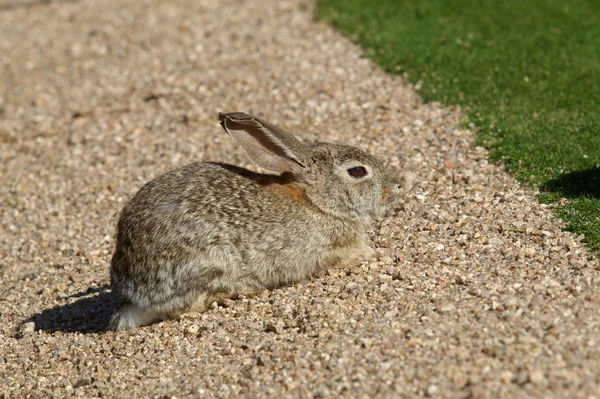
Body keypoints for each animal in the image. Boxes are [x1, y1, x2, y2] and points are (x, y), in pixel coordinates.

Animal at [110, 112, 400, 332]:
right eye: (358, 171)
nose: (396, 185)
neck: (318, 201)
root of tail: (133, 295)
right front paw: (373, 253)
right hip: (205, 262)